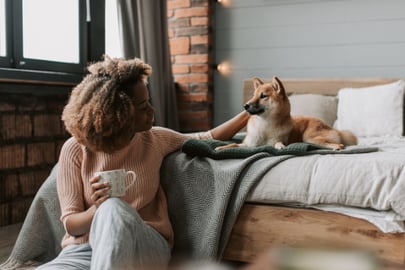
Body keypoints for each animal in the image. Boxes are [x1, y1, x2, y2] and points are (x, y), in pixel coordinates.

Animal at [216, 76, 356, 151]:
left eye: (263, 96)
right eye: (253, 96)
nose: (245, 105)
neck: (264, 125)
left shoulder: (276, 140)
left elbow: (277, 143)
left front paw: (280, 146)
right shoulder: (248, 144)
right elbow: (234, 144)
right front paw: (220, 148)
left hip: (309, 136)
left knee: (340, 144)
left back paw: (336, 147)